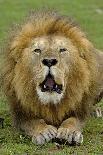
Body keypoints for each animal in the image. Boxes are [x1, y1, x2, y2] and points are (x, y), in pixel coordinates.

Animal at [0, 10, 102, 145]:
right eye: (37, 50)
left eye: (62, 50)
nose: (49, 61)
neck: (51, 104)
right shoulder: (21, 114)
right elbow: (33, 122)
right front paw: (43, 132)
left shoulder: (79, 111)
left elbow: (73, 120)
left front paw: (69, 132)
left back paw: (95, 111)